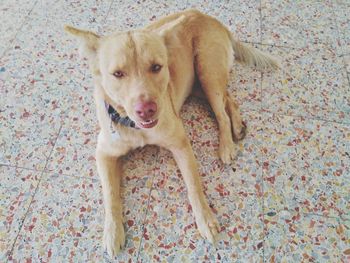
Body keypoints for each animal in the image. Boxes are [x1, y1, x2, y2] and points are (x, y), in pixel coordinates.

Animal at [65, 8, 278, 258]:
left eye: (156, 67)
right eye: (117, 73)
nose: (146, 109)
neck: (136, 127)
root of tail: (207, 17)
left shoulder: (181, 145)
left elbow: (193, 185)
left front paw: (205, 219)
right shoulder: (104, 154)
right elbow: (109, 193)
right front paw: (112, 232)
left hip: (206, 71)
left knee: (222, 111)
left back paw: (227, 143)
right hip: (198, 85)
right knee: (229, 99)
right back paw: (238, 125)